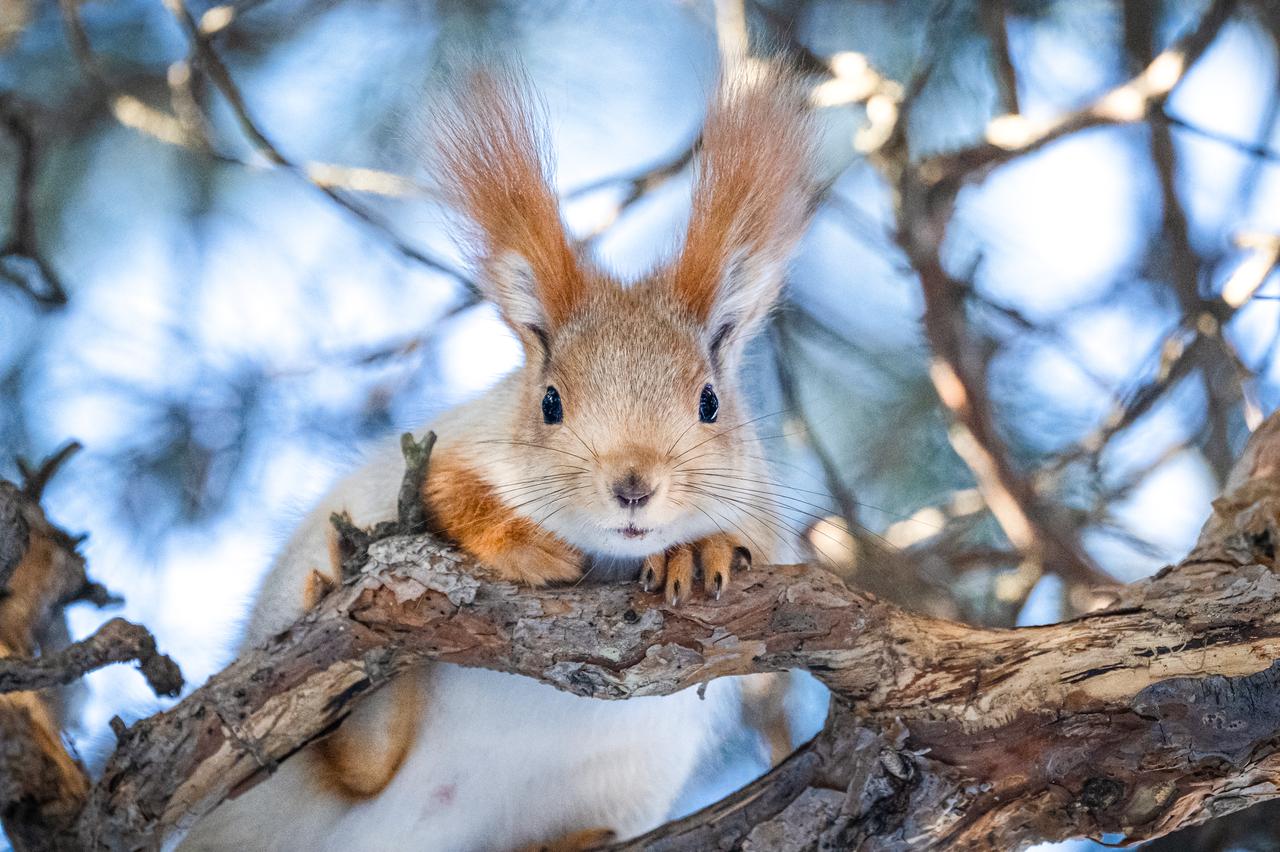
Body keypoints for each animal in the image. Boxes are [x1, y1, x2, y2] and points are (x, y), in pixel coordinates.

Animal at [183, 62, 817, 852]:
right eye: (548, 402)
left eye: (710, 402)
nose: (633, 486)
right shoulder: (446, 448)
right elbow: (450, 493)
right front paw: (523, 544)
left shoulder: (763, 501)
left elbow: (754, 539)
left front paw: (698, 553)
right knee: (355, 762)